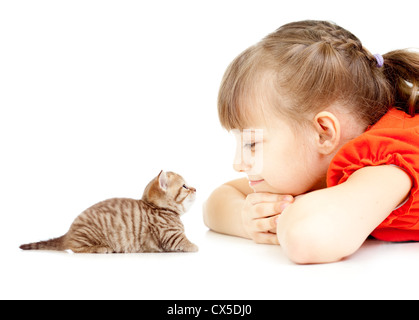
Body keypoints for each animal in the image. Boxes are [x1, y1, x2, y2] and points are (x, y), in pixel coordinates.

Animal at [21, 171, 200, 254]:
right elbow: (185, 243)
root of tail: (69, 233)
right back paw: (100, 248)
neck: (158, 208)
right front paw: (194, 246)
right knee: (76, 248)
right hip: (86, 235)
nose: (195, 189)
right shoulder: (170, 236)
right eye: (185, 186)